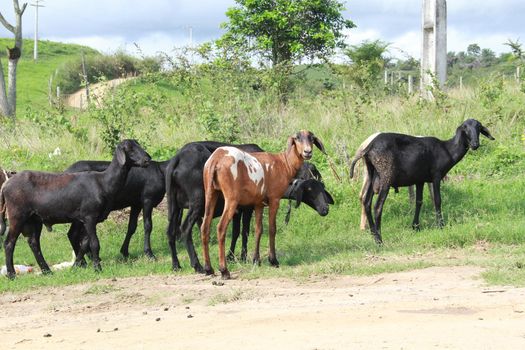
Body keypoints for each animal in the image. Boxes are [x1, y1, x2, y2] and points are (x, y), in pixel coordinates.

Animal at [200, 131, 324, 278]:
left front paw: (256, 260)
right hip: (231, 198)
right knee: (221, 227)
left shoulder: (258, 203)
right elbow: (272, 229)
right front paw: (273, 260)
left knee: (204, 227)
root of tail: (216, 159)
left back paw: (208, 269)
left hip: (210, 193)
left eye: (311, 139)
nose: (307, 152)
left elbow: (259, 230)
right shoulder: (274, 199)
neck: (283, 163)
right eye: (297, 138)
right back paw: (224, 270)